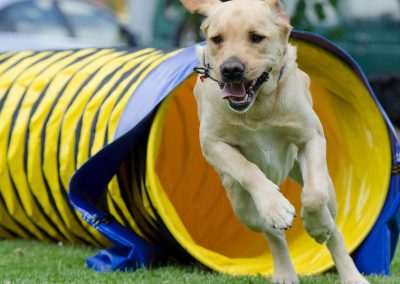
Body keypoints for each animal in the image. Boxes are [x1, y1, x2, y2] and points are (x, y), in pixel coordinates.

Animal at [180, 0, 370, 284]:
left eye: (256, 37)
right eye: (217, 39)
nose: (230, 69)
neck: (258, 106)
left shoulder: (311, 137)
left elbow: (314, 196)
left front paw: (317, 226)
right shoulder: (213, 144)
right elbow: (248, 168)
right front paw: (276, 206)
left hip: (327, 187)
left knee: (334, 228)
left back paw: (349, 272)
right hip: (242, 206)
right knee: (273, 234)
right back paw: (285, 271)